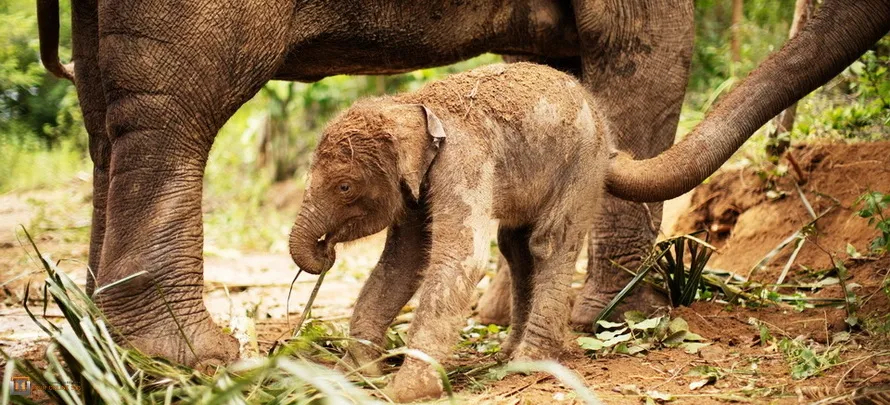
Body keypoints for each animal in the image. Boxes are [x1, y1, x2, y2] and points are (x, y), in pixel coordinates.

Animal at [37, 0, 889, 381]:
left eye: (344, 186)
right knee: (169, 106)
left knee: (104, 112)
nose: (316, 258)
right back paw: (185, 357)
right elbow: (647, 47)